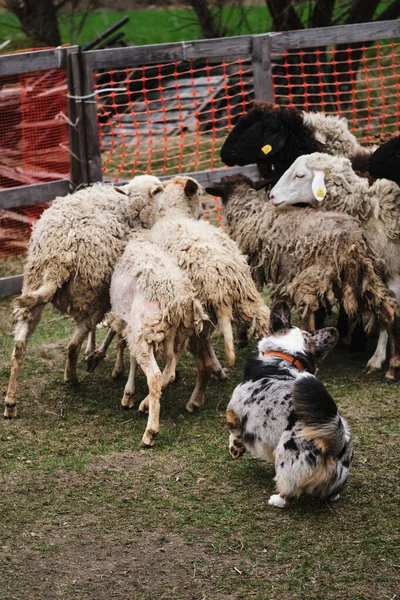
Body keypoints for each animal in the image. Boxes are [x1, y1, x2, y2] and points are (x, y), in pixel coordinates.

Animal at [3, 173, 164, 418]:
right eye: (159, 190)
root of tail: (58, 259)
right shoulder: (113, 294)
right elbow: (116, 331)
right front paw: (101, 357)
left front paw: (98, 353)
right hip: (90, 296)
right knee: (73, 344)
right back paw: (72, 377)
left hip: (34, 283)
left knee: (21, 344)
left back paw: (11, 402)